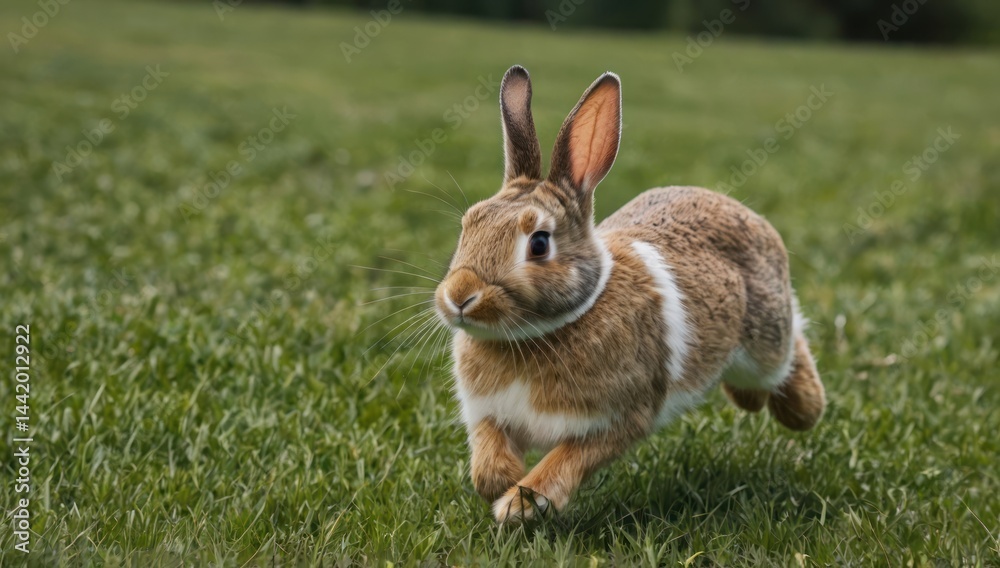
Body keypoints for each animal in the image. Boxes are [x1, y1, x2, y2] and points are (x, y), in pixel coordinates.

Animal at [433, 65, 826, 523]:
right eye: (468, 224)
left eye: (539, 243)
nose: (460, 296)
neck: (541, 332)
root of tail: (745, 213)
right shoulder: (486, 415)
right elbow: (486, 462)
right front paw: (506, 482)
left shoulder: (620, 419)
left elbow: (566, 462)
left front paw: (521, 503)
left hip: (765, 342)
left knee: (791, 346)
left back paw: (804, 409)